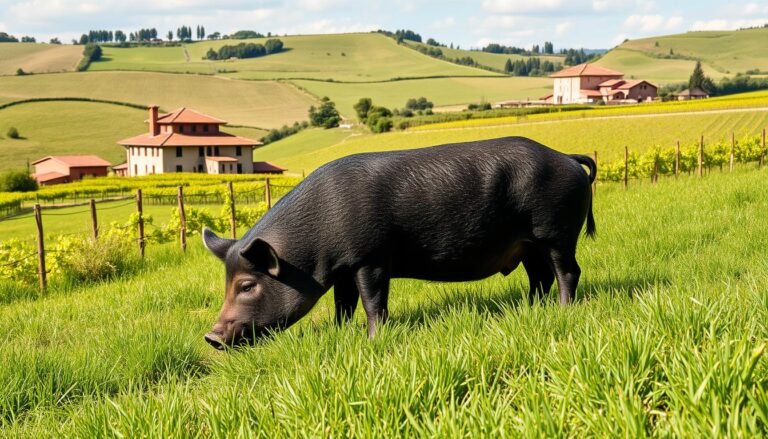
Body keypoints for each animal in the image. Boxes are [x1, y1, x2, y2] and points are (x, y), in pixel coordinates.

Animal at [202, 136, 592, 348]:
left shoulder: (371, 258)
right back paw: (531, 308)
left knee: (568, 271)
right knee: (539, 276)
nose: (211, 337)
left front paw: (373, 339)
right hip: (527, 244)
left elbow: (373, 301)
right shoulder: (344, 269)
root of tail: (568, 158)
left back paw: (563, 310)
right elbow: (344, 304)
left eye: (246, 285)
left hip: (556, 232)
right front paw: (341, 333)